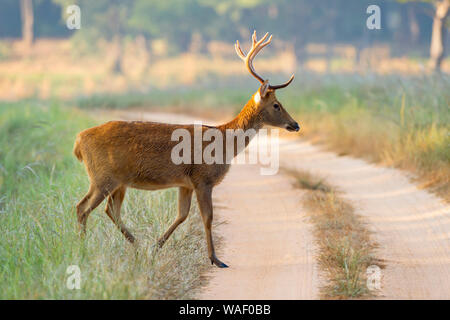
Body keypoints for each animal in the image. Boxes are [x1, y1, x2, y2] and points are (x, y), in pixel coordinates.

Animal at [73, 31, 298, 268]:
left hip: (118, 181)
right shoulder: (203, 178)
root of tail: (79, 141)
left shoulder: (185, 183)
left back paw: (136, 244)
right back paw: (84, 248)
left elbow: (181, 215)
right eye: (276, 105)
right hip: (102, 176)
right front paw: (216, 259)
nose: (296, 125)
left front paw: (156, 246)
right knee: (82, 207)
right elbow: (207, 218)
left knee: (109, 209)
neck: (224, 142)